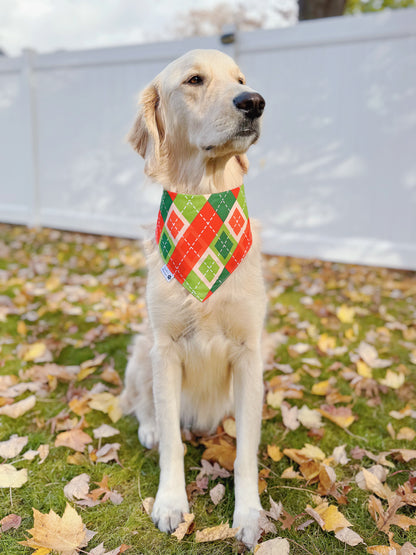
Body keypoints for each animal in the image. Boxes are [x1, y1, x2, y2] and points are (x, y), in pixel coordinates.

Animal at [121, 48, 266, 552]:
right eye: (194, 80)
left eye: (240, 79)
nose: (254, 101)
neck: (205, 205)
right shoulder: (164, 349)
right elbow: (171, 440)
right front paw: (170, 503)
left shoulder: (249, 353)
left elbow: (245, 451)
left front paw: (248, 514)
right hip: (141, 352)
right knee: (141, 404)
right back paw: (146, 426)